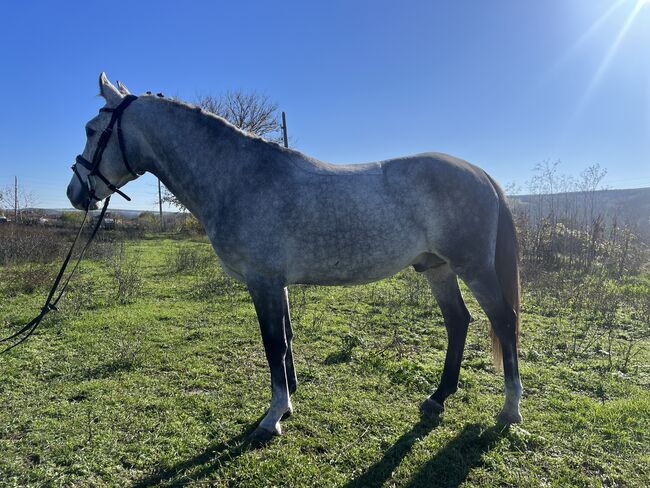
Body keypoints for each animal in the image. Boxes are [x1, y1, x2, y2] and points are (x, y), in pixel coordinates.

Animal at [66, 73, 523, 443]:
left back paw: (510, 410)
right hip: (437, 267)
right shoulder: (277, 283)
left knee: (503, 321)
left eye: (91, 129)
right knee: (458, 322)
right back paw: (438, 397)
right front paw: (287, 402)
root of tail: (480, 173)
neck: (238, 178)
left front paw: (271, 419)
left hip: (473, 268)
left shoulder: (263, 281)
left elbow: (272, 344)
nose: (76, 193)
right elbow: (285, 340)